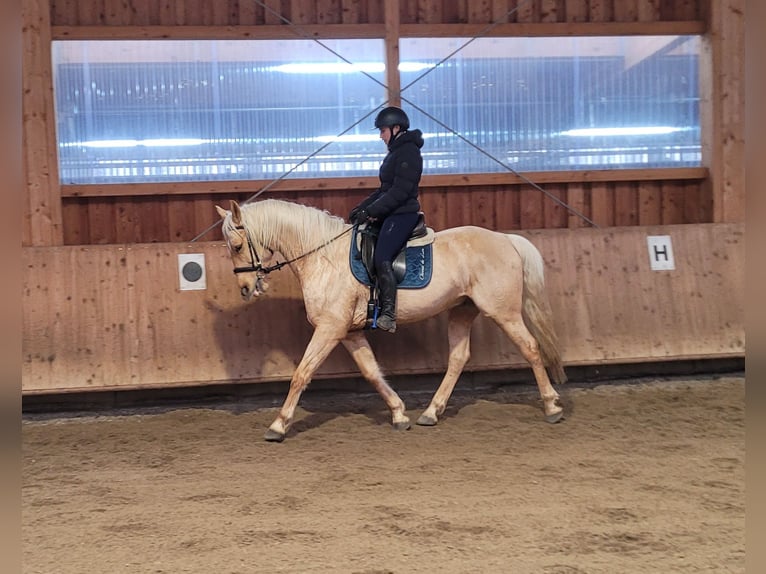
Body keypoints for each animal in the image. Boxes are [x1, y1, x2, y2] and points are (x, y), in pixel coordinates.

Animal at [215, 199, 567, 442]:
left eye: (237, 245)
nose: (246, 288)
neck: (323, 258)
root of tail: (505, 239)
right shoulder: (348, 332)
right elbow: (371, 372)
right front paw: (399, 414)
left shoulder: (330, 328)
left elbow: (302, 373)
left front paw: (278, 425)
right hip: (461, 310)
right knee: (458, 358)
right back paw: (431, 412)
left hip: (503, 312)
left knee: (530, 347)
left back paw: (551, 406)